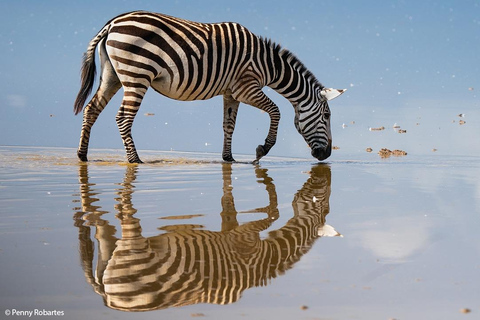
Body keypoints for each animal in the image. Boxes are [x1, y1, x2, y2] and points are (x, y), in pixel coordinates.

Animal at [73, 11, 344, 164]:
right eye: (327, 116)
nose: (327, 155)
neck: (268, 64)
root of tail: (112, 24)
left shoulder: (231, 93)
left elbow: (229, 125)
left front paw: (228, 159)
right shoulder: (246, 87)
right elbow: (276, 111)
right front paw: (262, 150)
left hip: (113, 76)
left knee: (91, 109)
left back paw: (83, 155)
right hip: (136, 75)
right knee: (123, 118)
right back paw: (135, 160)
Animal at [74, 162, 342, 310]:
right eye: (325, 206)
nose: (324, 159)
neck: (264, 260)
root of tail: (108, 298)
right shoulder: (244, 239)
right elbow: (268, 213)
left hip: (109, 250)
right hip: (133, 250)